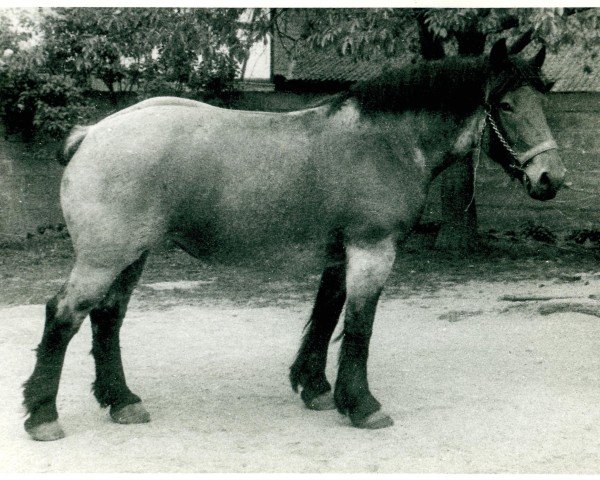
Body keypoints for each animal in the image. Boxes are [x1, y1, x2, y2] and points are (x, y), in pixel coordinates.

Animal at [24, 39, 568, 440]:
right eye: (505, 104)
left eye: (542, 102)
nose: (551, 178)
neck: (386, 141)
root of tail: (93, 132)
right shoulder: (372, 251)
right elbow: (359, 327)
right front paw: (362, 405)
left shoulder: (339, 256)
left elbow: (326, 316)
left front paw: (317, 389)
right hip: (105, 258)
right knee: (64, 315)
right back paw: (43, 416)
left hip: (130, 256)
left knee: (106, 318)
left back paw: (122, 401)